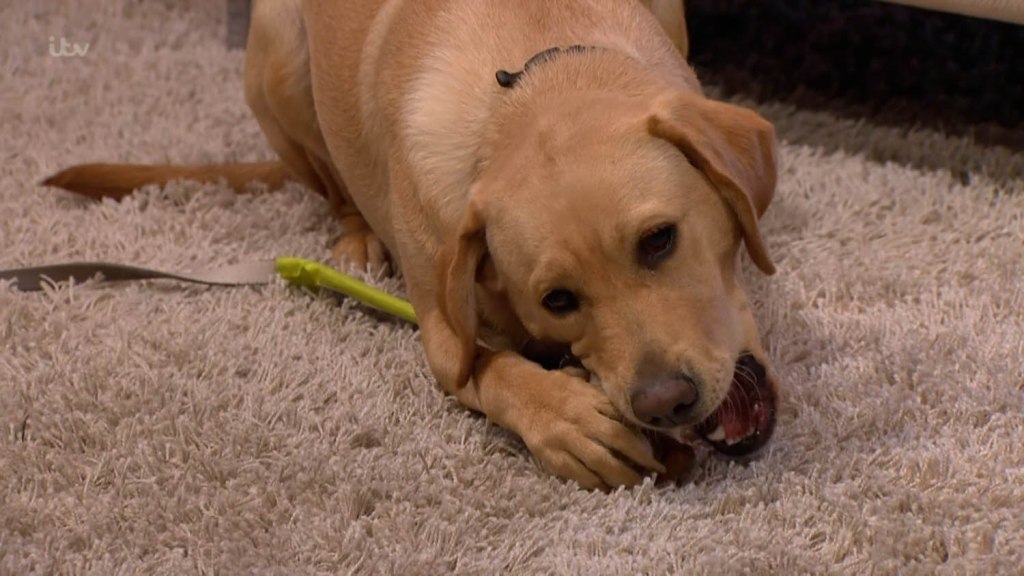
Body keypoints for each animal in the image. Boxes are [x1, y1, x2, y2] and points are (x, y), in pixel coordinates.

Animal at [46, 0, 774, 487]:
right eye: (558, 299)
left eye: (659, 240)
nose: (663, 402)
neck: (531, 72)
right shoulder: (444, 332)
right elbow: (488, 367)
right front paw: (564, 416)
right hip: (277, 65)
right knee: (334, 189)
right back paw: (359, 240)